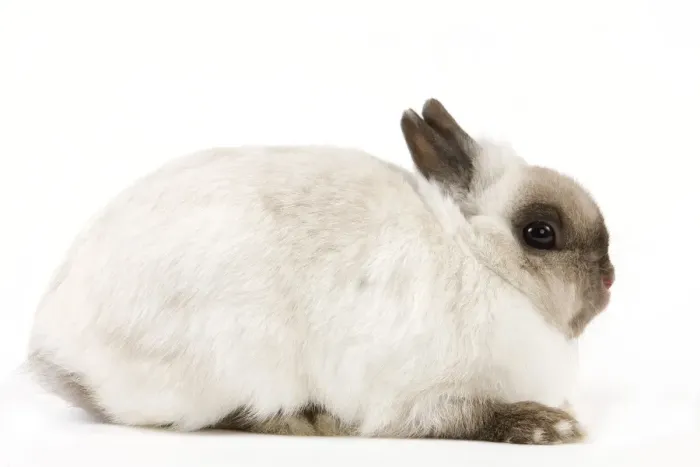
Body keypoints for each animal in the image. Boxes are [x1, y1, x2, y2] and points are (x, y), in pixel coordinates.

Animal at [25, 98, 614, 444]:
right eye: (540, 232)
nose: (610, 280)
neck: (480, 260)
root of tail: (54, 346)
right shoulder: (420, 397)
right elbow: (465, 419)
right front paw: (551, 426)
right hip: (234, 360)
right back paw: (310, 419)